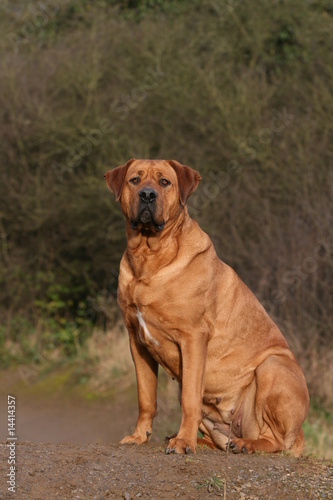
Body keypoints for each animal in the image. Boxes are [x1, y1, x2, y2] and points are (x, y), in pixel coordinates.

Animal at [104, 158, 308, 456]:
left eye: (164, 182)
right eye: (135, 180)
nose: (147, 195)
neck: (149, 255)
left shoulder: (193, 338)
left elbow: (190, 397)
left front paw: (183, 444)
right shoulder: (137, 341)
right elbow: (146, 398)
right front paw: (140, 436)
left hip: (272, 367)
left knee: (276, 441)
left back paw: (243, 444)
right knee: (221, 439)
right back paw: (194, 440)